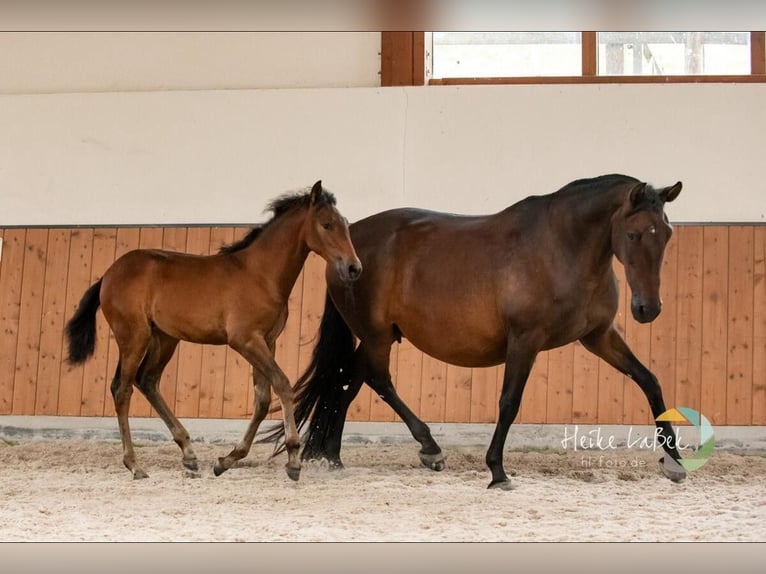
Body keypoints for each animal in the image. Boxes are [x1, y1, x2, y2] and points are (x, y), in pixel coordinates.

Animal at [64, 180, 362, 481]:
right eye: (326, 224)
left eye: (345, 224)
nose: (353, 268)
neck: (260, 275)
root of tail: (108, 275)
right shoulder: (245, 340)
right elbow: (283, 385)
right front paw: (292, 460)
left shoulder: (267, 341)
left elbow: (263, 399)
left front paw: (226, 460)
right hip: (134, 337)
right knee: (122, 389)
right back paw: (135, 465)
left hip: (165, 338)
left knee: (147, 380)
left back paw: (188, 453)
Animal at [263, 173, 684, 490]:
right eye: (633, 235)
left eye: (666, 233)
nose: (648, 308)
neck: (562, 247)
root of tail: (345, 253)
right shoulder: (525, 340)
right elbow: (509, 402)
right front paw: (497, 471)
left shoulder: (599, 336)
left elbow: (650, 381)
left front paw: (675, 461)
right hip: (377, 336)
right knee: (376, 380)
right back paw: (429, 448)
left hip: (375, 337)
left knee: (347, 380)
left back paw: (334, 456)